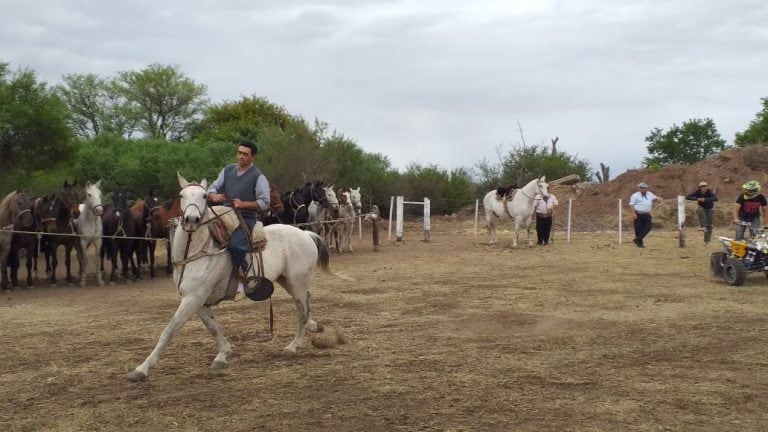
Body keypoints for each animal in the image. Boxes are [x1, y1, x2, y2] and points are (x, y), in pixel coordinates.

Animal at [127, 174, 346, 384]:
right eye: (182, 195)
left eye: (204, 196)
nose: (191, 219)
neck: (197, 251)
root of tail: (306, 233)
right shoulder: (198, 301)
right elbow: (213, 327)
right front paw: (222, 355)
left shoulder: (193, 299)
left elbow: (169, 330)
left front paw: (142, 369)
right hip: (287, 281)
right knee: (306, 302)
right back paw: (313, 326)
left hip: (296, 282)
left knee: (301, 311)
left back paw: (293, 345)